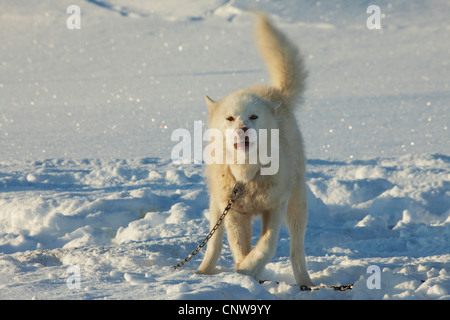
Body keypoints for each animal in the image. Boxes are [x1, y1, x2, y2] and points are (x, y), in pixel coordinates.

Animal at [197, 10, 312, 288]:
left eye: (253, 116)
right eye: (230, 118)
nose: (242, 129)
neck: (247, 176)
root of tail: (275, 93)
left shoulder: (276, 207)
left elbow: (266, 247)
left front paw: (249, 270)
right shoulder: (234, 212)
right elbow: (239, 246)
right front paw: (245, 274)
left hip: (297, 204)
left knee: (297, 250)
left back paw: (306, 283)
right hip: (217, 205)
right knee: (213, 243)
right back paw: (202, 271)